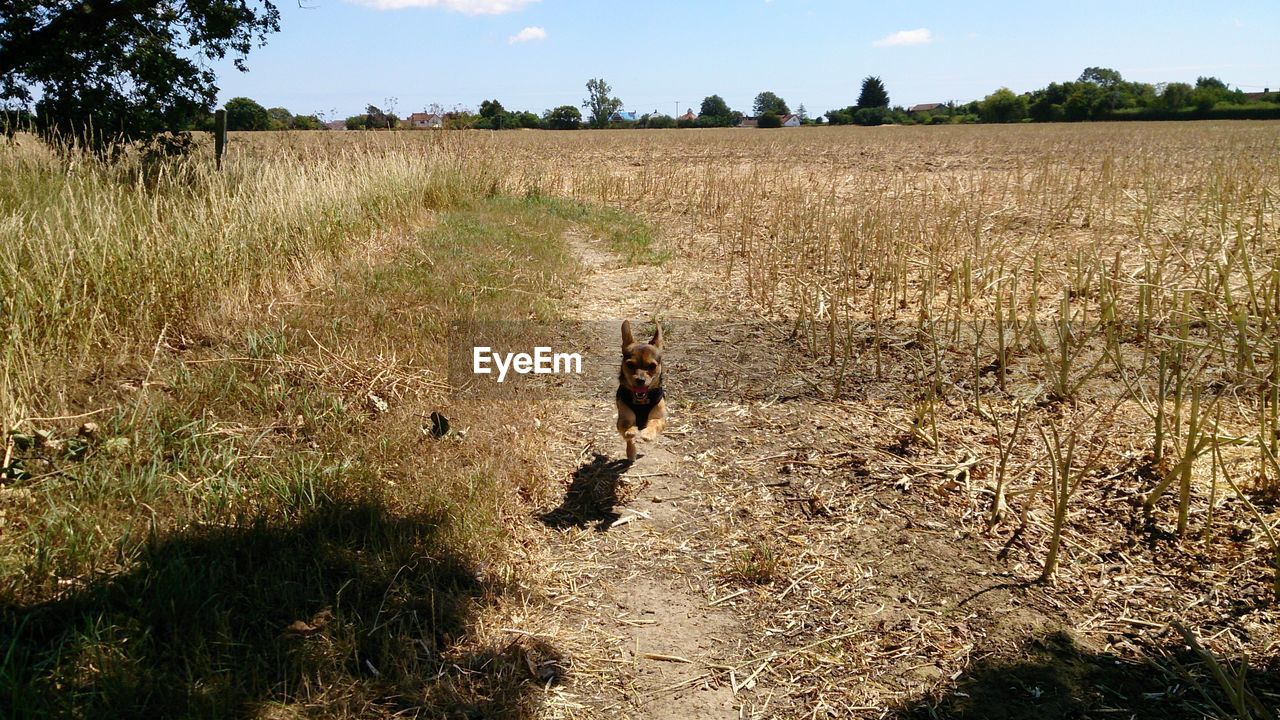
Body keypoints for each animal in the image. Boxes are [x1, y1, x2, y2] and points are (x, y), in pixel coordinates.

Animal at [614, 317, 665, 458]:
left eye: (652, 366)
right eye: (630, 365)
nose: (640, 380)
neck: (641, 401)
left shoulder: (660, 419)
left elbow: (654, 423)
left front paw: (648, 433)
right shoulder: (622, 419)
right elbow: (626, 427)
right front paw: (630, 430)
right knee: (629, 440)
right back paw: (631, 451)